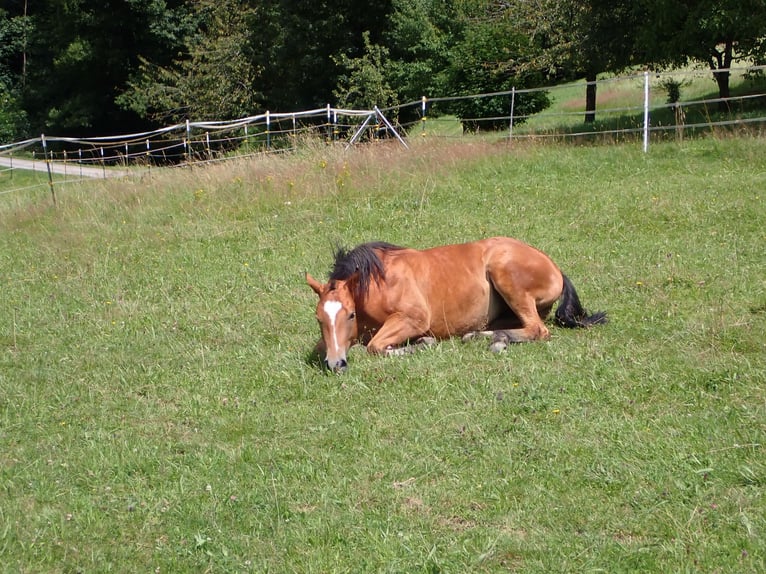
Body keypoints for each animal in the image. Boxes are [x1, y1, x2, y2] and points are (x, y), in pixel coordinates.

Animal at [306, 237, 608, 374]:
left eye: (350, 315)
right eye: (320, 319)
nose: (336, 364)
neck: (377, 282)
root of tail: (555, 268)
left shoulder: (414, 318)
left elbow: (375, 347)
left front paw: (421, 345)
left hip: (506, 275)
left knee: (538, 330)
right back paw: (486, 337)